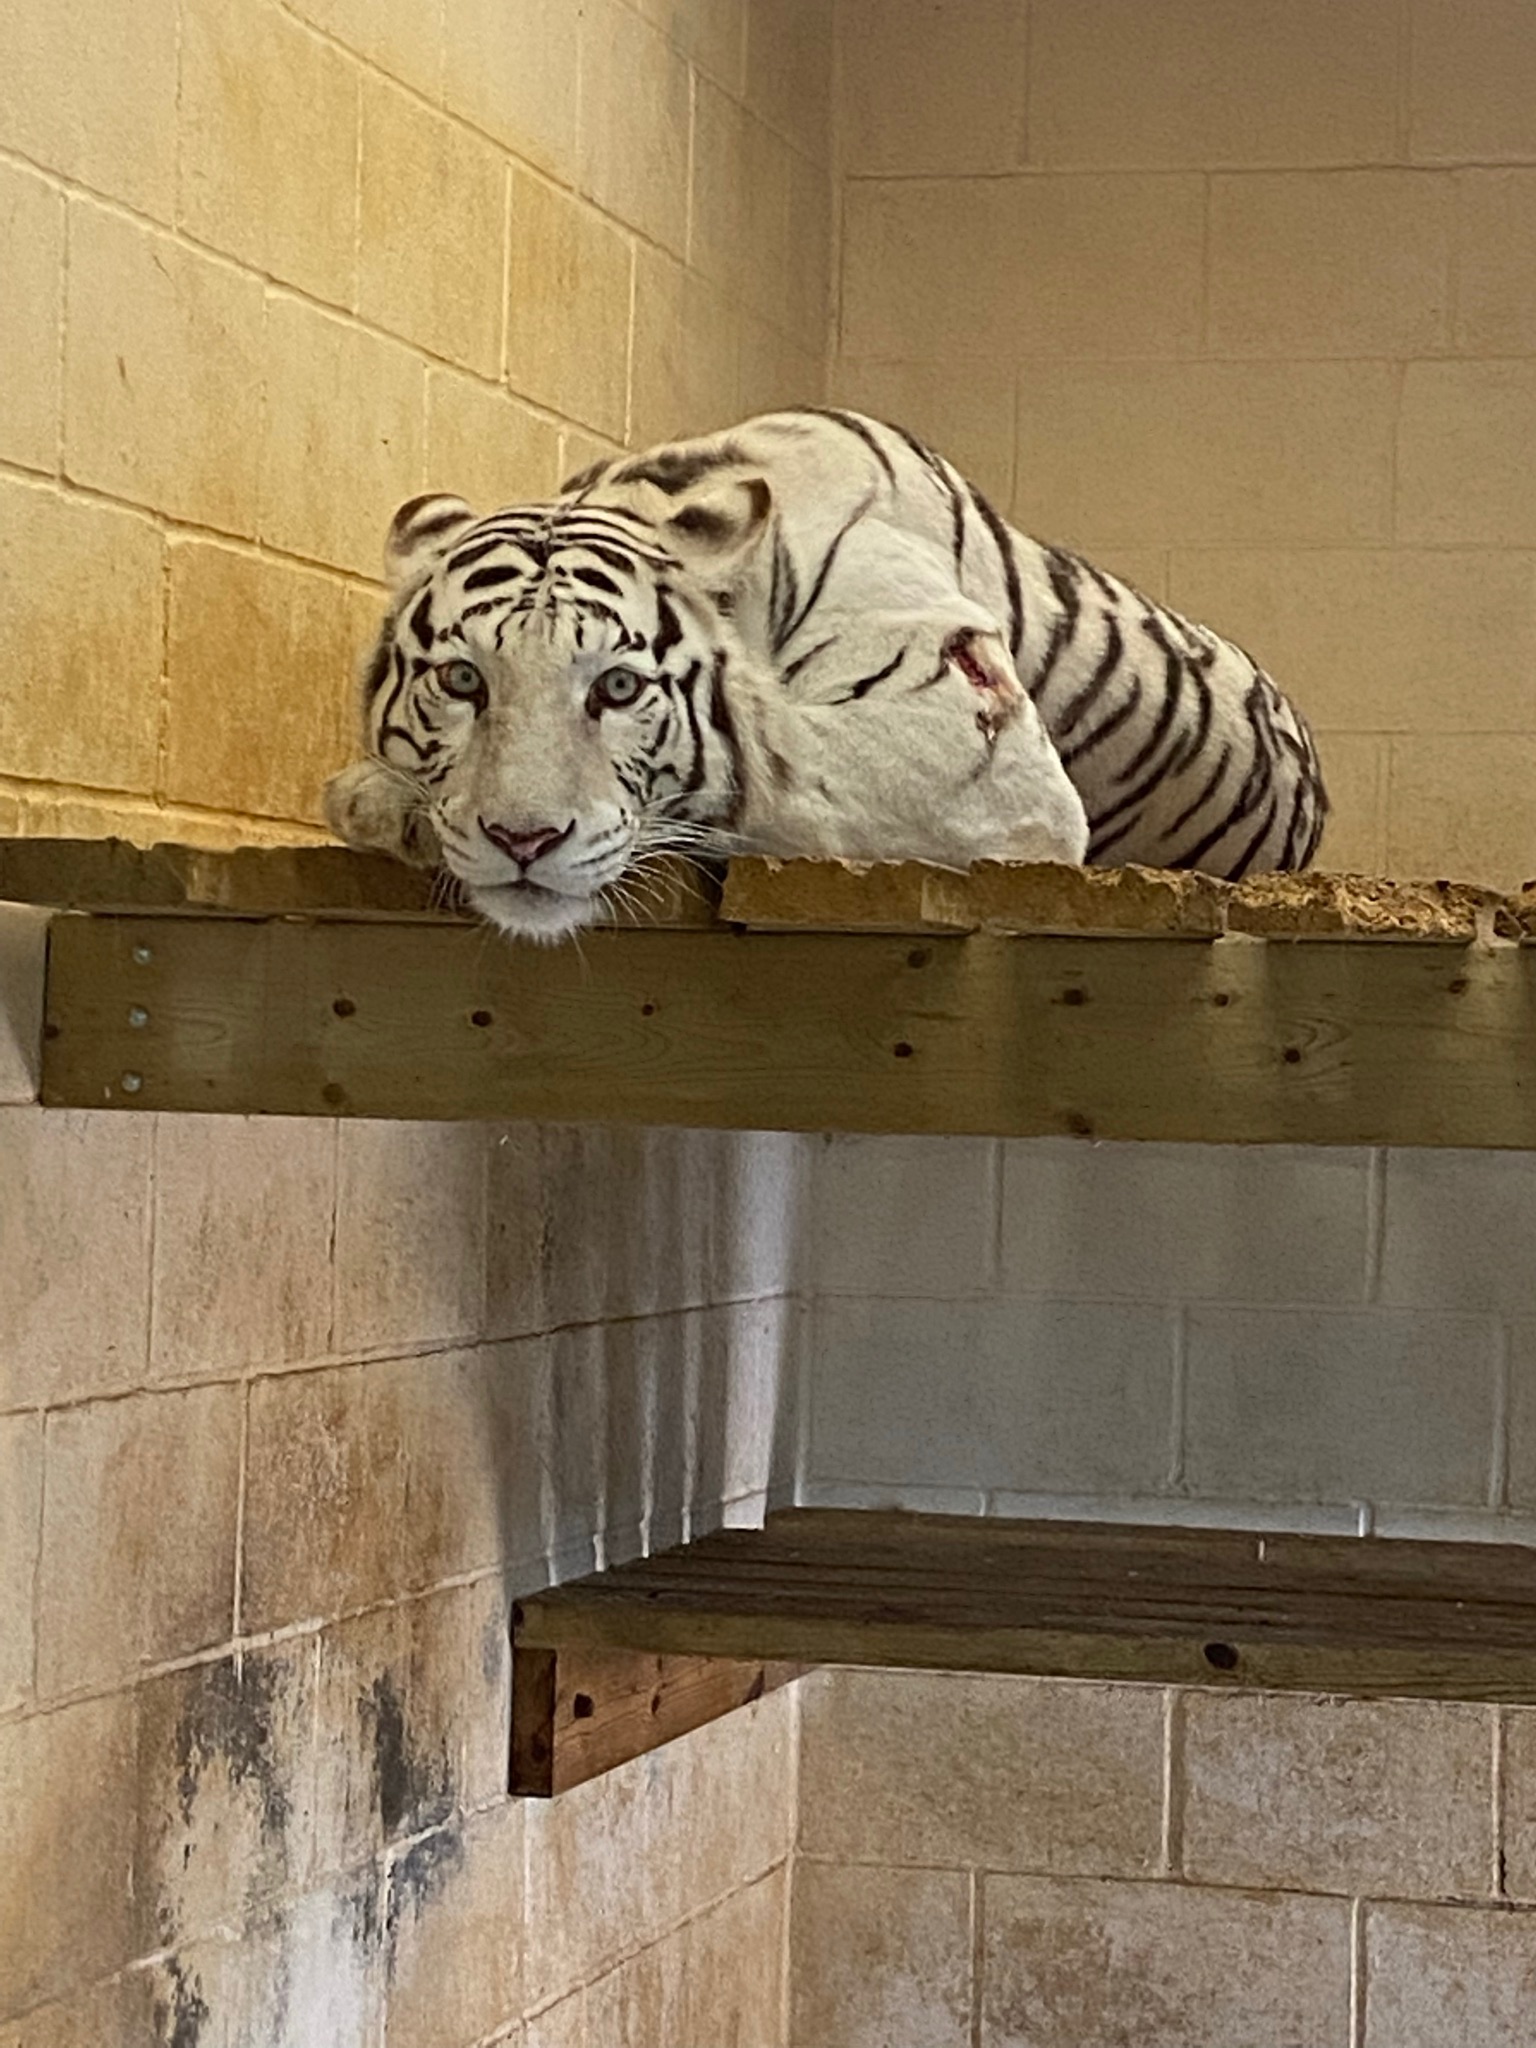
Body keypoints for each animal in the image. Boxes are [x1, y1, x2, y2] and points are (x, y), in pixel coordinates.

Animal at [326, 407, 1326, 942]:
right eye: (464, 681)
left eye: (617, 687)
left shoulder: (973, 744)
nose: (522, 838)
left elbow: (774, 769)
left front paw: (375, 803)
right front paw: (386, 799)